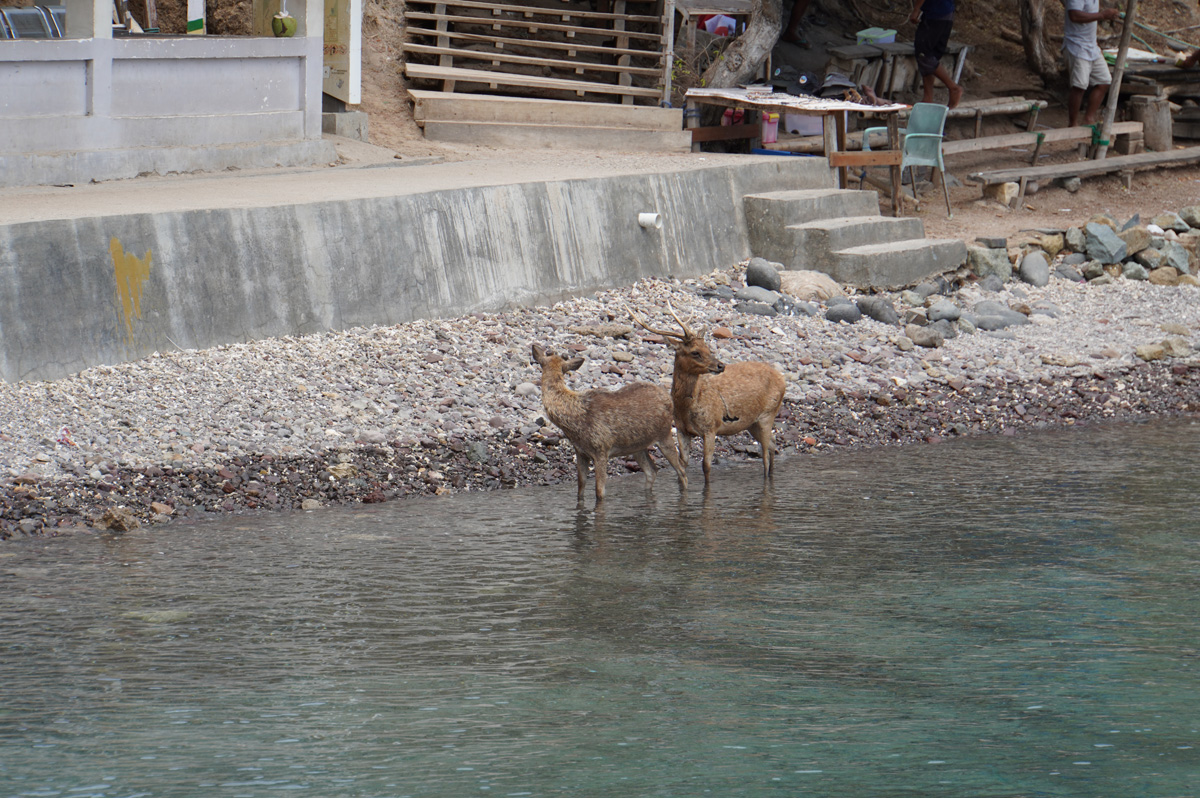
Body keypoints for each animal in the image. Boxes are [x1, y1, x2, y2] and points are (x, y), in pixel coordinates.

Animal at [531, 343, 688, 503]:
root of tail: (669, 399)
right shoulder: (580, 452)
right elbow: (580, 488)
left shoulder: (601, 449)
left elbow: (599, 492)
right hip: (637, 446)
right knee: (652, 471)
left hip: (664, 434)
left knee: (681, 470)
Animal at [628, 303, 786, 484]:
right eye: (695, 352)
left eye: (708, 348)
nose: (721, 365)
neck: (687, 407)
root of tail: (783, 379)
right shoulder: (682, 430)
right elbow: (683, 464)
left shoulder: (711, 427)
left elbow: (706, 466)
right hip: (752, 422)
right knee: (773, 443)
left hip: (768, 413)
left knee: (765, 455)